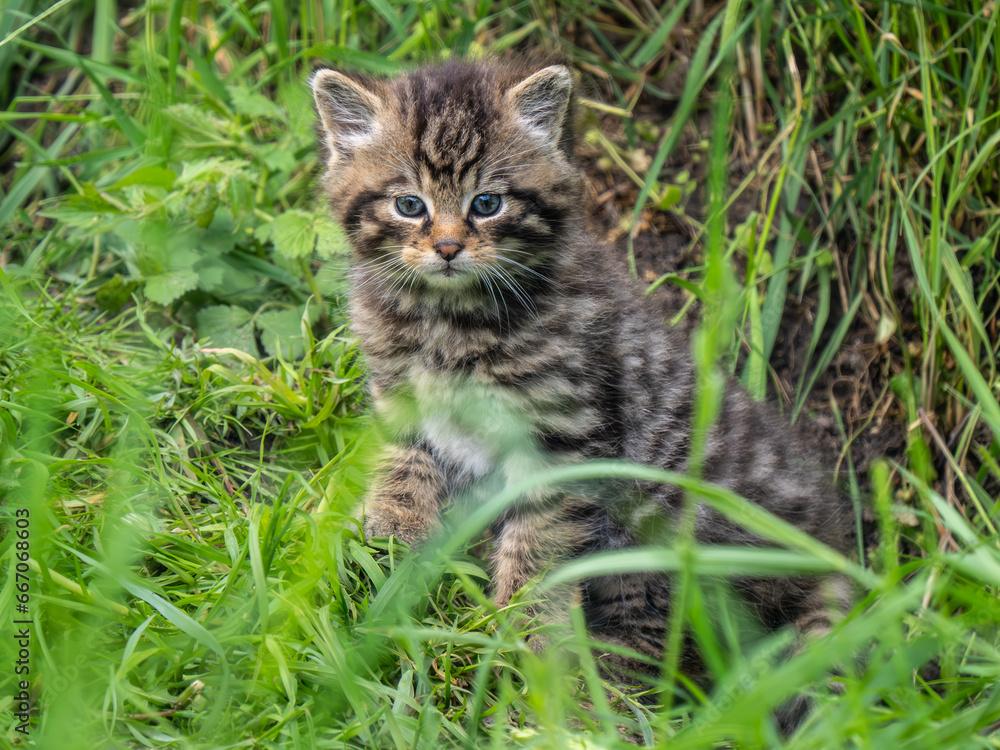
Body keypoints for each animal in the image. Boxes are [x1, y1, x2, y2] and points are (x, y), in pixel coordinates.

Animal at [310, 60, 852, 712]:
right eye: (409, 204)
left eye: (487, 203)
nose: (447, 247)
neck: (448, 320)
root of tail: (825, 534)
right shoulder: (403, 401)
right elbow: (401, 467)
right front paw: (387, 543)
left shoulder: (563, 435)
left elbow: (540, 543)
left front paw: (525, 634)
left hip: (664, 532)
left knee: (661, 644)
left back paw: (599, 702)